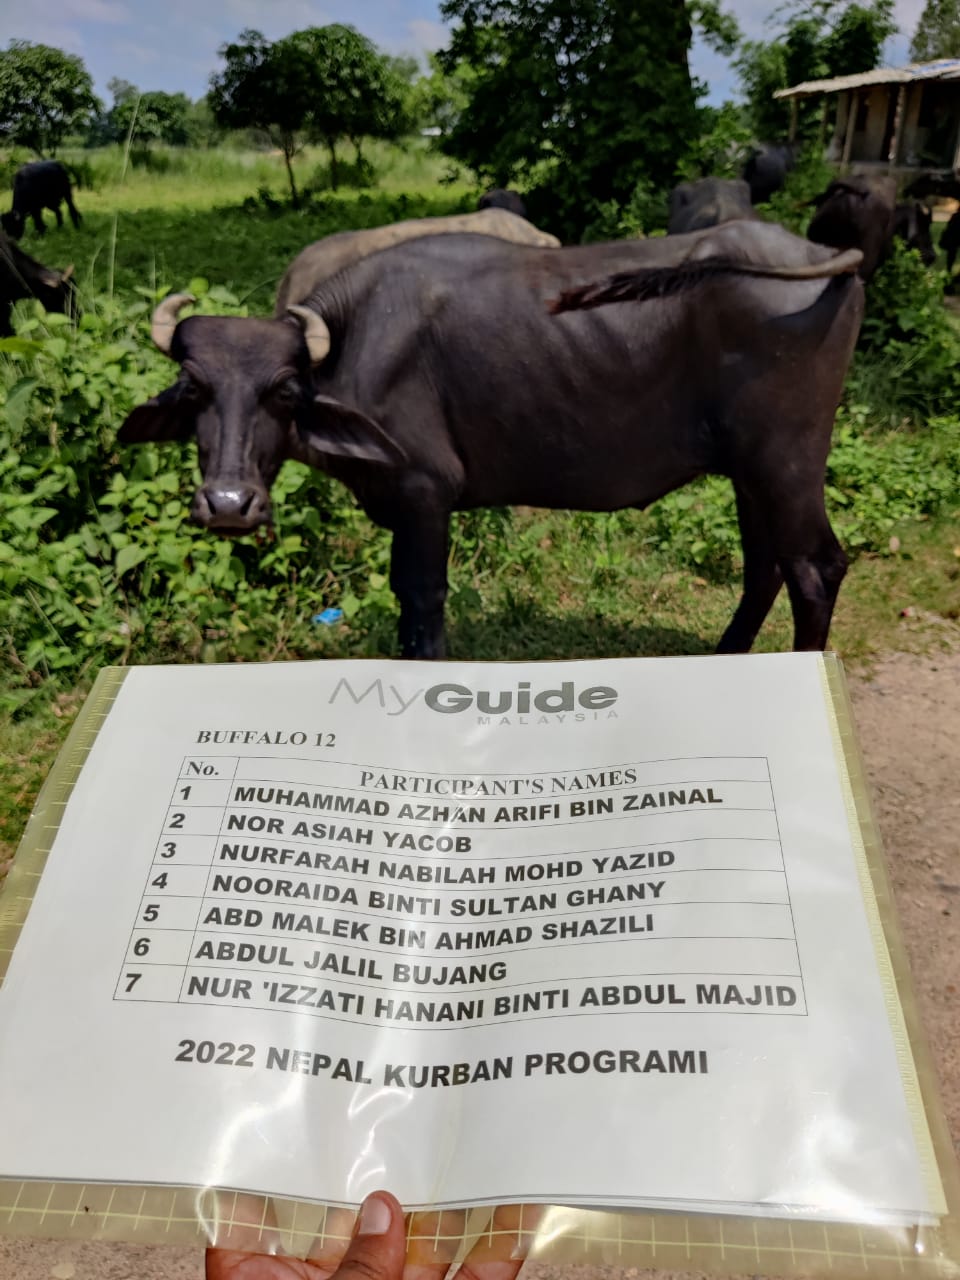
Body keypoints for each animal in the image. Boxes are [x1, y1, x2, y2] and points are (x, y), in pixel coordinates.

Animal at [119, 223, 863, 659]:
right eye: (194, 388)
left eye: (281, 389)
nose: (228, 504)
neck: (359, 340)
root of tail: (827, 257)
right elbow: (403, 596)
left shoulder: (426, 492)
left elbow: (424, 601)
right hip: (748, 468)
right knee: (765, 563)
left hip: (787, 458)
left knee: (814, 568)